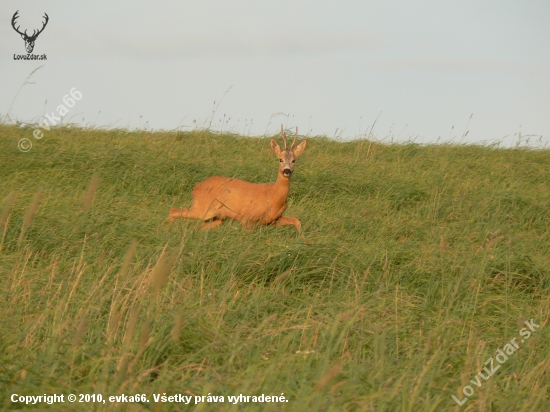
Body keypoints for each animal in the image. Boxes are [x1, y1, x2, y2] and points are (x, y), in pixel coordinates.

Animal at [169, 124, 306, 233]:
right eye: (280, 159)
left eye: (294, 160)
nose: (287, 171)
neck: (274, 195)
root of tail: (197, 186)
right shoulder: (248, 218)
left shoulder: (272, 220)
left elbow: (297, 221)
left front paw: (301, 239)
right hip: (202, 208)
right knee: (173, 210)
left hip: (217, 217)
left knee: (198, 226)